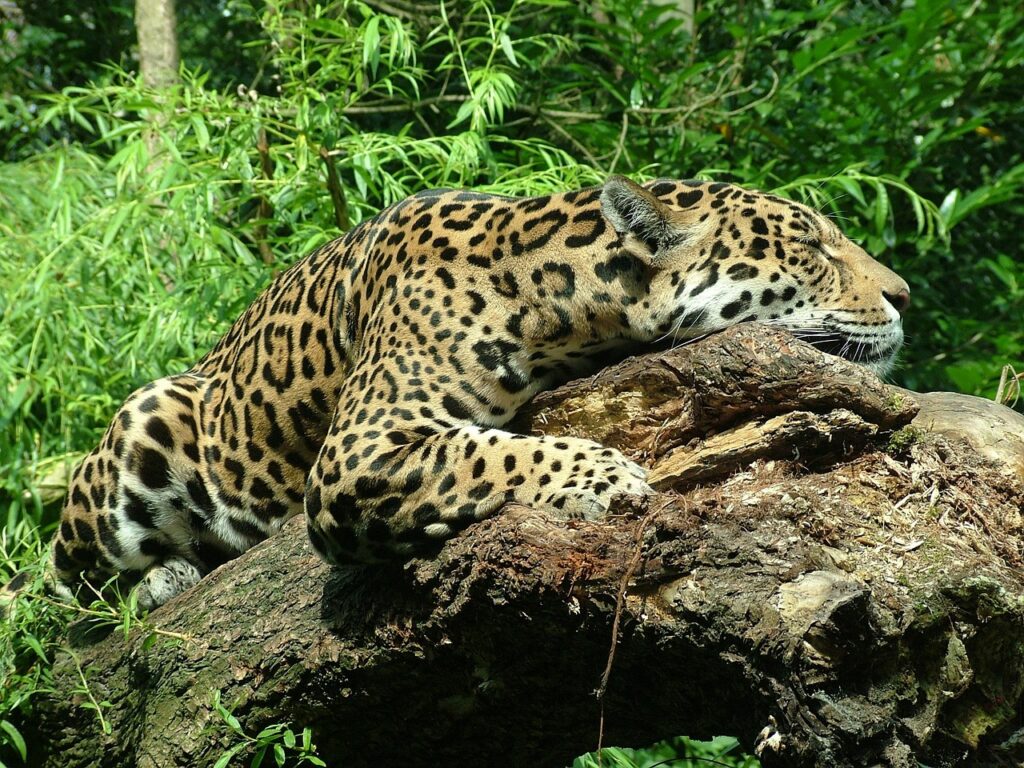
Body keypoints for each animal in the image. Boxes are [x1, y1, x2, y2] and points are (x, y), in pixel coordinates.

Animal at [33, 175, 910, 610]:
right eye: (810, 246)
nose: (904, 294)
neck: (561, 295)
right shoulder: (357, 452)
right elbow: (487, 454)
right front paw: (608, 477)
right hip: (141, 433)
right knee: (59, 586)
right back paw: (160, 579)